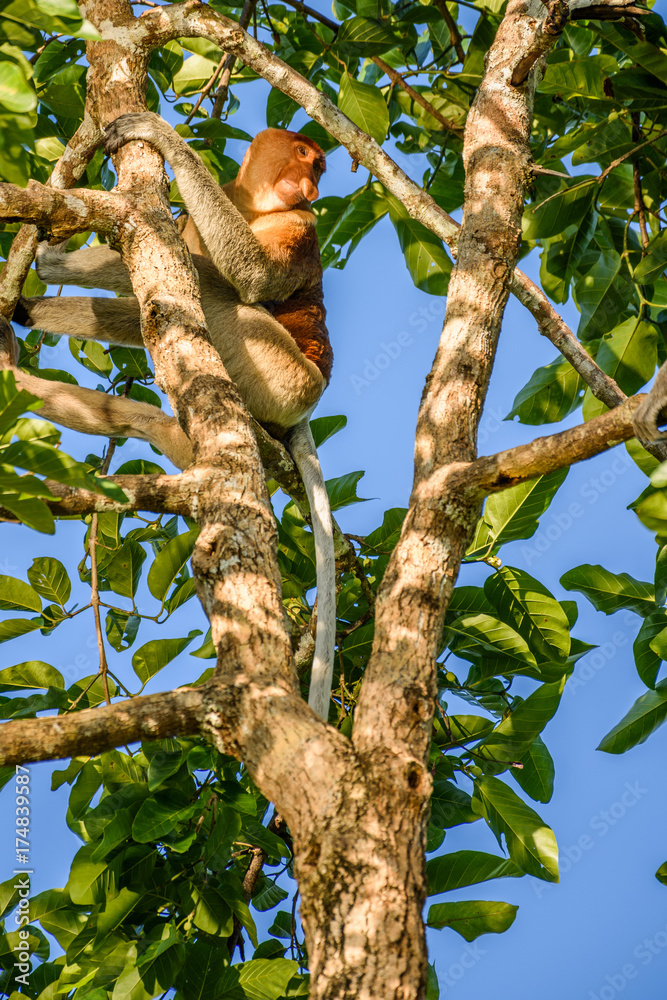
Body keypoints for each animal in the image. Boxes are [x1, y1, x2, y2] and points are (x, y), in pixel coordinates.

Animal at [7, 119, 336, 720]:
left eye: (319, 165)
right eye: (306, 155)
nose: (312, 186)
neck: (252, 203)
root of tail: (308, 403)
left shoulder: (300, 225)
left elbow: (255, 276)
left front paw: (156, 134)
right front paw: (48, 254)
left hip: (281, 376)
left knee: (212, 296)